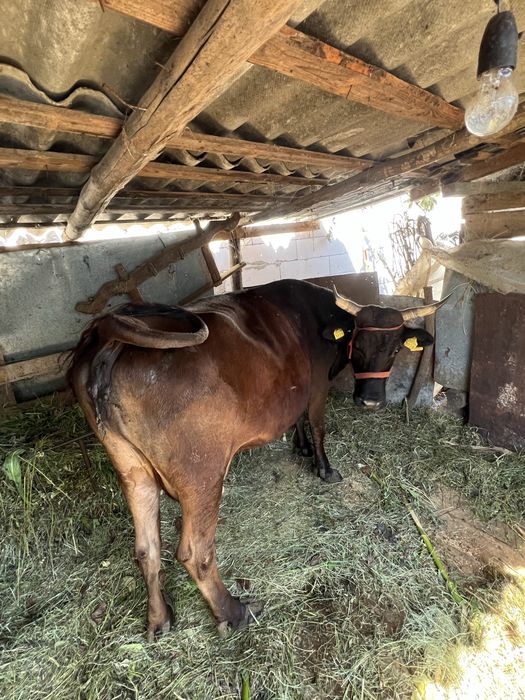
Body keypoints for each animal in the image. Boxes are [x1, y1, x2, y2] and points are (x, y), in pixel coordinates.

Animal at [68, 278, 444, 640]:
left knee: (147, 549)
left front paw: (301, 448)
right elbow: (317, 424)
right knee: (195, 552)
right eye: (360, 345)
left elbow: (297, 419)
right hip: (202, 473)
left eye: (394, 349)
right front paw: (324, 468)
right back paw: (234, 613)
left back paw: (160, 619)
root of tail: (107, 333)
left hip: (132, 469)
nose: (369, 401)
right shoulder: (317, 386)